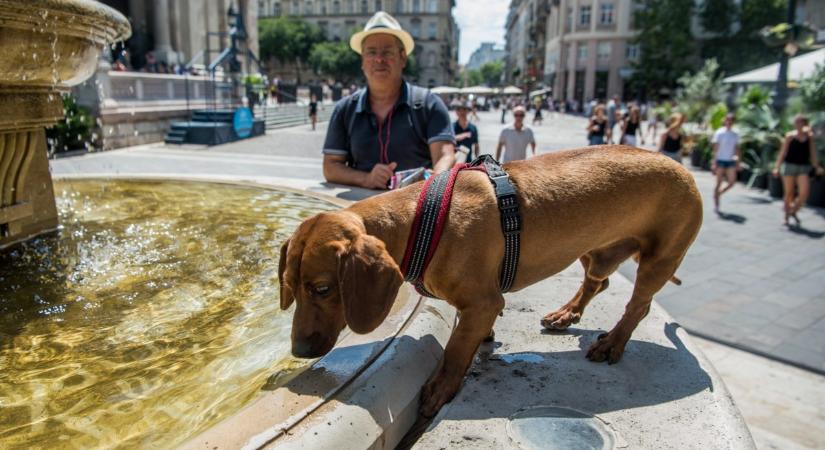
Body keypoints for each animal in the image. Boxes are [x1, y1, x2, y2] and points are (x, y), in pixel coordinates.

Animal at [278, 146, 700, 416]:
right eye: (289, 288)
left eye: (322, 289)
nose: (298, 350)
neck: (421, 222)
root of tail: (686, 172)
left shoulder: (482, 303)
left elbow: (455, 350)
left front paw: (441, 387)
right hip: (592, 251)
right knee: (598, 281)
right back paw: (567, 313)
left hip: (659, 259)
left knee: (638, 306)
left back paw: (613, 342)